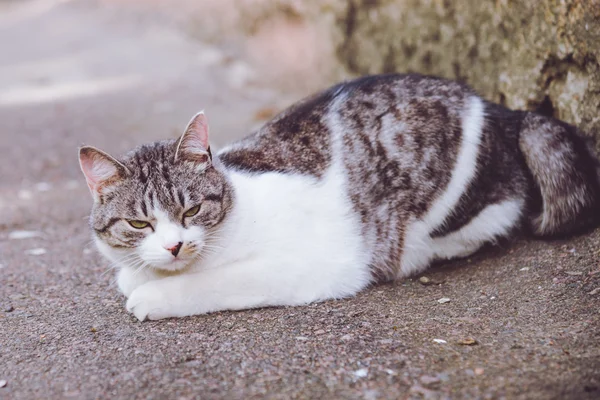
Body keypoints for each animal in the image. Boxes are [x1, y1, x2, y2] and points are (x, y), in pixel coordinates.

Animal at [79, 73, 600, 320]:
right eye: (140, 223)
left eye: (191, 209)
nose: (174, 245)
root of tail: (500, 109)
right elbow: (129, 272)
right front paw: (139, 276)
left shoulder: (310, 264)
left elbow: (210, 284)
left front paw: (154, 296)